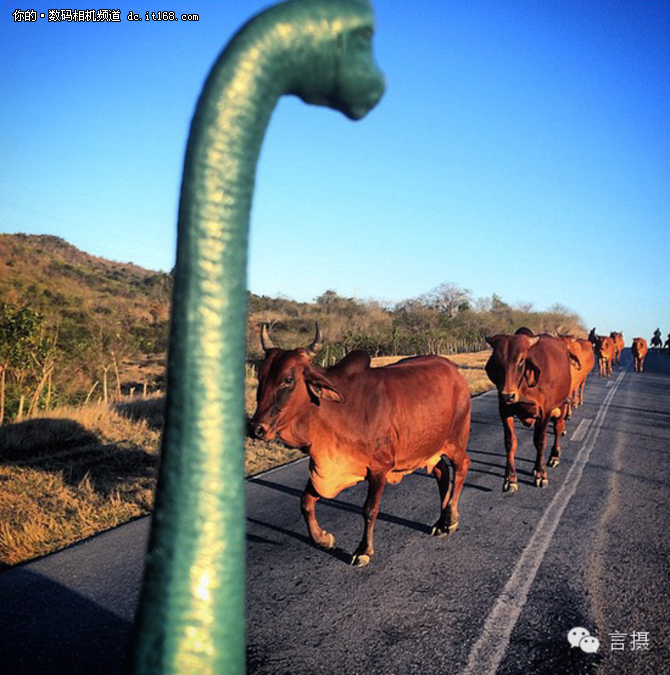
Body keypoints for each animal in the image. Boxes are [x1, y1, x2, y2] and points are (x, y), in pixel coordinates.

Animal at [251, 324, 472, 568]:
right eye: (261, 378)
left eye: (288, 379)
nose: (256, 428)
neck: (335, 412)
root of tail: (454, 370)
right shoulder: (326, 468)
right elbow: (305, 502)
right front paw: (323, 539)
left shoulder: (379, 469)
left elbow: (369, 509)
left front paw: (364, 550)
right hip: (429, 447)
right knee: (442, 473)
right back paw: (441, 521)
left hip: (456, 441)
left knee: (461, 467)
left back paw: (450, 519)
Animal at [486, 332, 576, 492]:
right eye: (496, 360)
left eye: (521, 360)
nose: (507, 395)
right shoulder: (504, 410)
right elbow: (510, 443)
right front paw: (511, 479)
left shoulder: (545, 411)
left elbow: (541, 441)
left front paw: (541, 474)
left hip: (561, 406)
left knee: (558, 429)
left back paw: (554, 456)